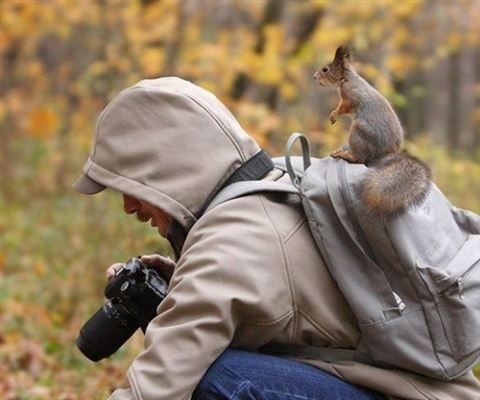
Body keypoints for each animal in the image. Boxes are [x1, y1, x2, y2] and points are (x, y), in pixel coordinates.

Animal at [314, 46, 434, 219]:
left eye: (325, 69)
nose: (314, 77)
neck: (347, 78)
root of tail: (385, 154)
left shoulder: (349, 97)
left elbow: (343, 107)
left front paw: (333, 114)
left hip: (358, 132)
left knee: (360, 158)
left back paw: (344, 154)